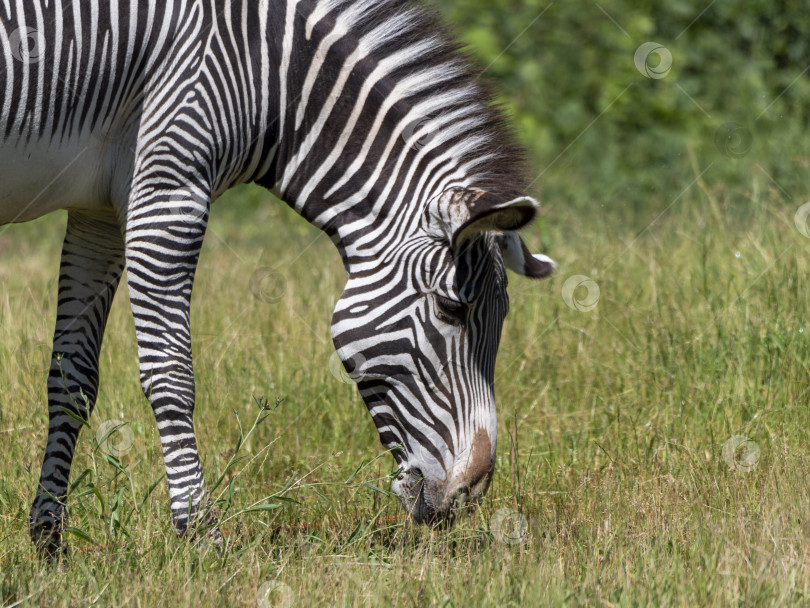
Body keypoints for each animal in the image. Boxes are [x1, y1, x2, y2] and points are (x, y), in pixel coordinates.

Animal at [0, 0, 552, 560]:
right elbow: (172, 375)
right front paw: (200, 532)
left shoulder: (99, 214)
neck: (262, 69)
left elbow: (72, 379)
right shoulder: (168, 191)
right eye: (450, 308)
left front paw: (48, 537)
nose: (469, 495)